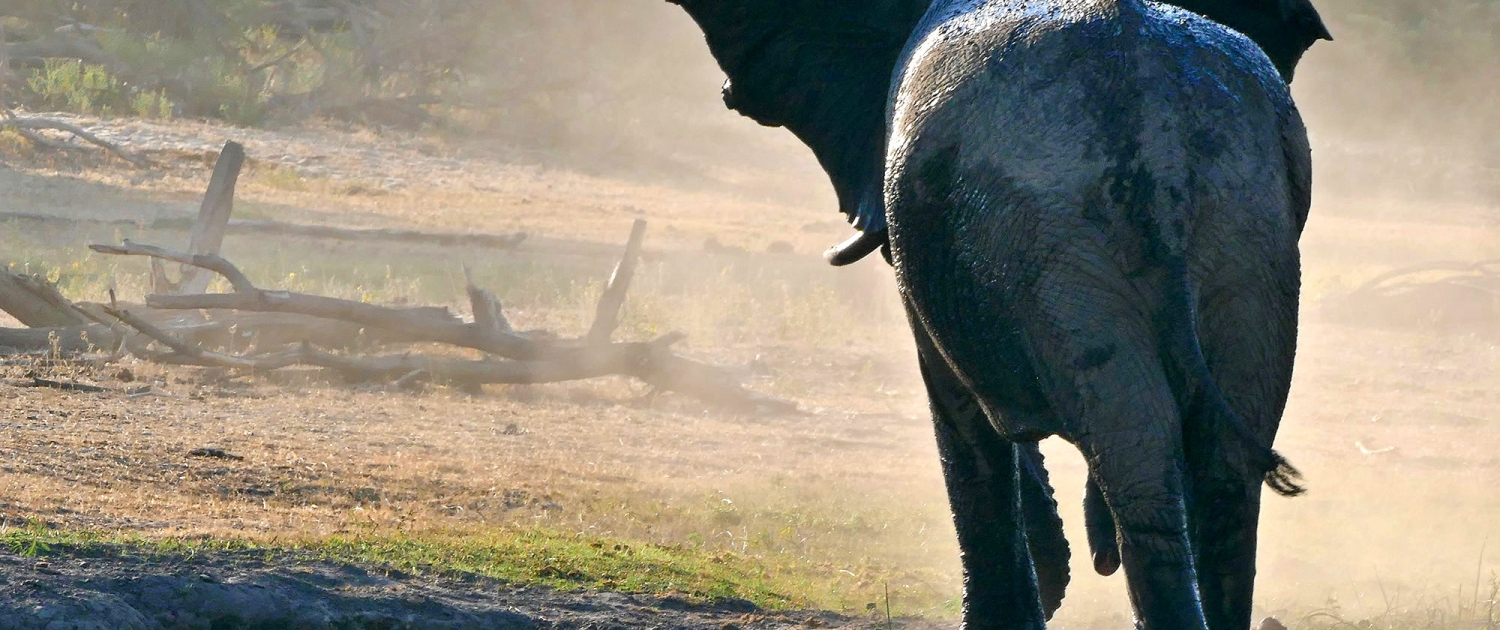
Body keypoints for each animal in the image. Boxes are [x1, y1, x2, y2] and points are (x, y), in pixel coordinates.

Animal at [667, 0, 1330, 628]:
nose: (1096, 556)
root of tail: (1156, 130)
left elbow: (959, 414)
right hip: (1247, 232)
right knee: (1224, 469)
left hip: (1063, 237)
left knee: (1140, 455)